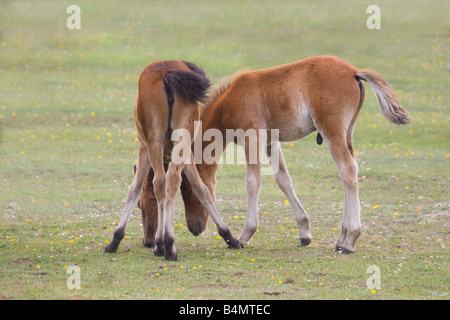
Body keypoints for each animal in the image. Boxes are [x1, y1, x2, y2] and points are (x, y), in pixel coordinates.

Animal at [104, 60, 243, 260]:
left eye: (140, 206)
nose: (147, 241)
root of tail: (167, 73)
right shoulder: (185, 153)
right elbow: (200, 189)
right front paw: (230, 237)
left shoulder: (144, 148)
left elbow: (135, 189)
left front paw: (117, 240)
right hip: (178, 141)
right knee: (170, 181)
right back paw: (169, 245)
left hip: (155, 143)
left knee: (161, 182)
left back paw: (166, 245)